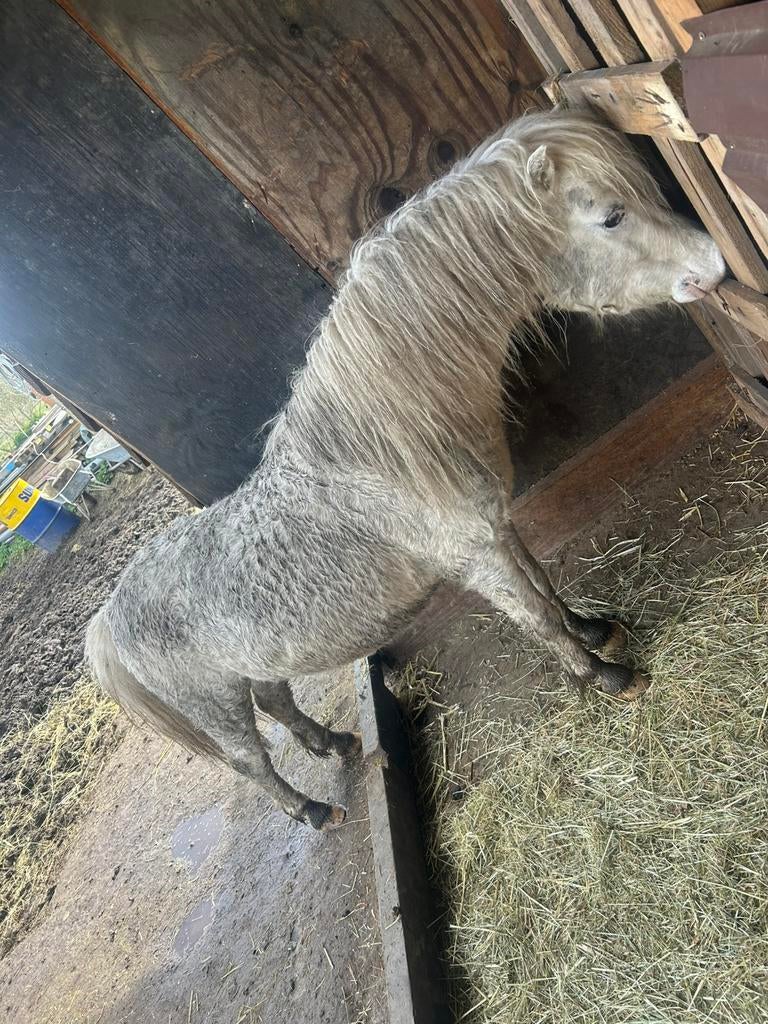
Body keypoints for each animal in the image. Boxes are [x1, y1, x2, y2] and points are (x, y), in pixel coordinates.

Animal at [86, 109, 726, 830]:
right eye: (613, 216)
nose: (714, 264)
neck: (383, 447)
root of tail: (107, 621)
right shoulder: (476, 556)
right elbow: (535, 617)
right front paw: (609, 678)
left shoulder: (495, 529)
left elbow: (543, 585)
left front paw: (595, 630)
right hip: (217, 707)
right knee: (252, 763)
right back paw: (313, 811)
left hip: (259, 669)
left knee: (280, 706)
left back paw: (335, 744)